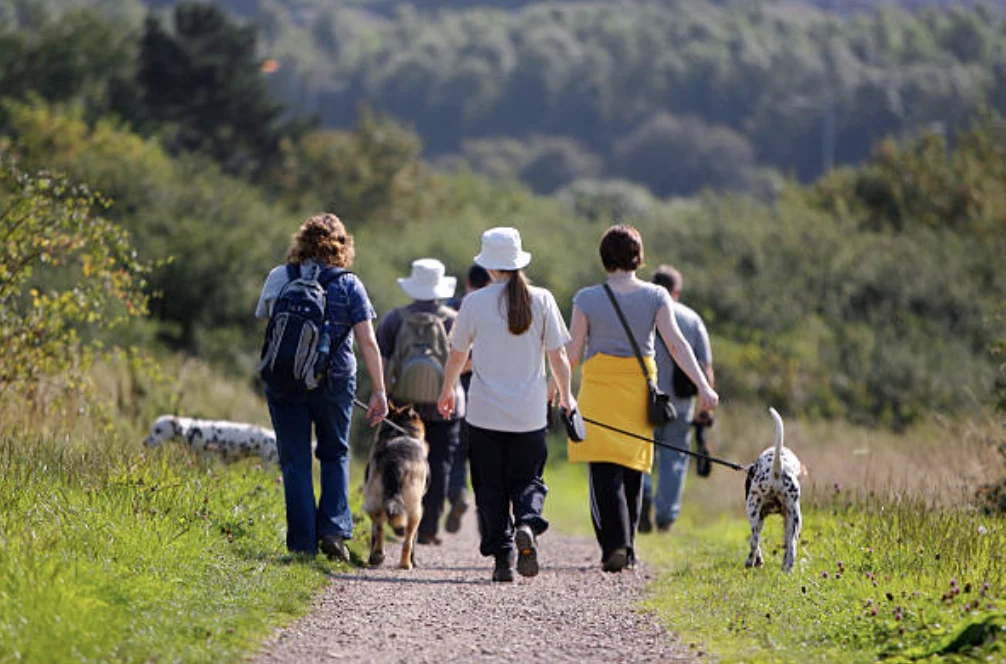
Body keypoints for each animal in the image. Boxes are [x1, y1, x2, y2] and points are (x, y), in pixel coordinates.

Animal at [364, 402, 426, 567]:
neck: (398, 432)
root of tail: (395, 462)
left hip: (374, 501)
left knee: (379, 528)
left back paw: (380, 556)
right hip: (416, 510)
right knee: (407, 539)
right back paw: (405, 564)